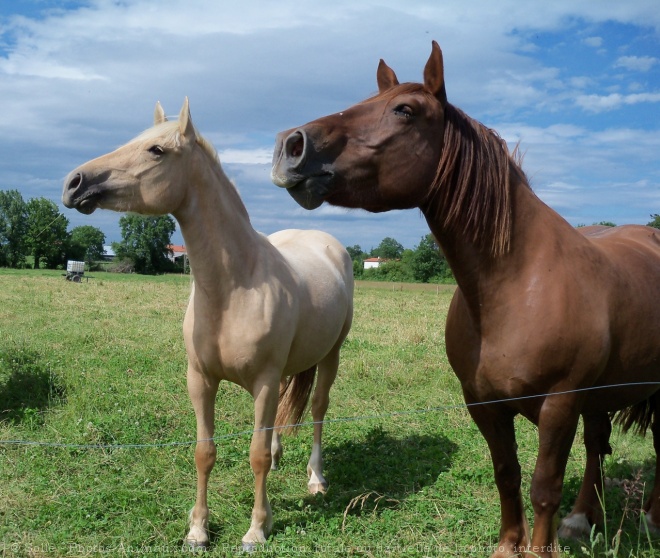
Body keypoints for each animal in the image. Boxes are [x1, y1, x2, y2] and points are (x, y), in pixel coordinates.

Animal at [60, 98, 356, 548]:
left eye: (156, 150)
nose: (75, 183)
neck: (234, 289)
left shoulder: (264, 382)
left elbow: (253, 455)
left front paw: (257, 528)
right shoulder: (199, 379)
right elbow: (205, 451)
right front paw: (198, 528)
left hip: (331, 355)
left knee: (319, 408)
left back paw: (316, 479)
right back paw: (280, 457)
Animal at [270, 41, 660, 556]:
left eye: (404, 110)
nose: (290, 146)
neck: (516, 284)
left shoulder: (559, 406)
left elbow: (543, 487)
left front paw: (538, 546)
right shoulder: (483, 404)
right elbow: (507, 475)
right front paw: (509, 545)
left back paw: (651, 518)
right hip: (598, 397)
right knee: (598, 446)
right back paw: (581, 520)